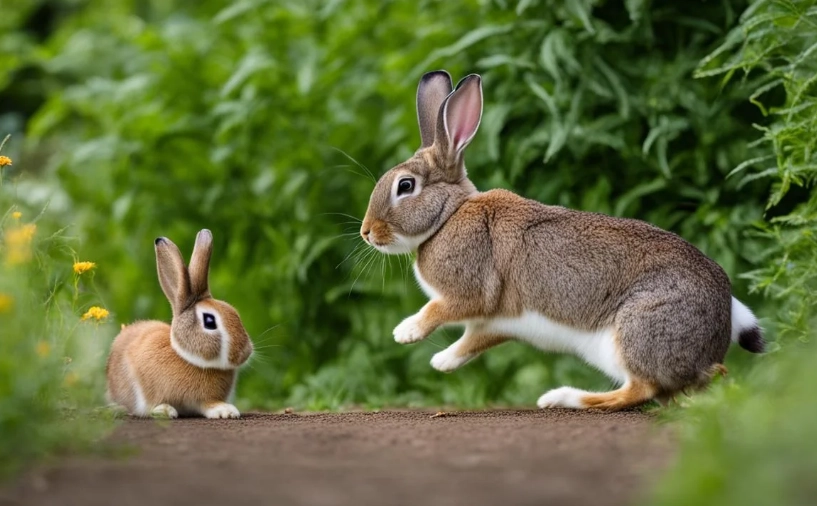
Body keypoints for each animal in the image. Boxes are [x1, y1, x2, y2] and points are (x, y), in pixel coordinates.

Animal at [106, 229, 253, 419]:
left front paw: (225, 410)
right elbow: (151, 404)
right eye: (209, 321)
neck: (188, 358)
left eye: (235, 313)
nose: (245, 352)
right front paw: (165, 410)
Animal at [359, 70, 765, 411]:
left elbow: (438, 310)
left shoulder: (470, 292)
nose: (367, 232)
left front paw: (405, 333)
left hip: (633, 332)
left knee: (641, 390)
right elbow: (472, 340)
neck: (448, 216)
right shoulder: (495, 323)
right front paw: (442, 362)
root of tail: (720, 321)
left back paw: (561, 398)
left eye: (405, 186)